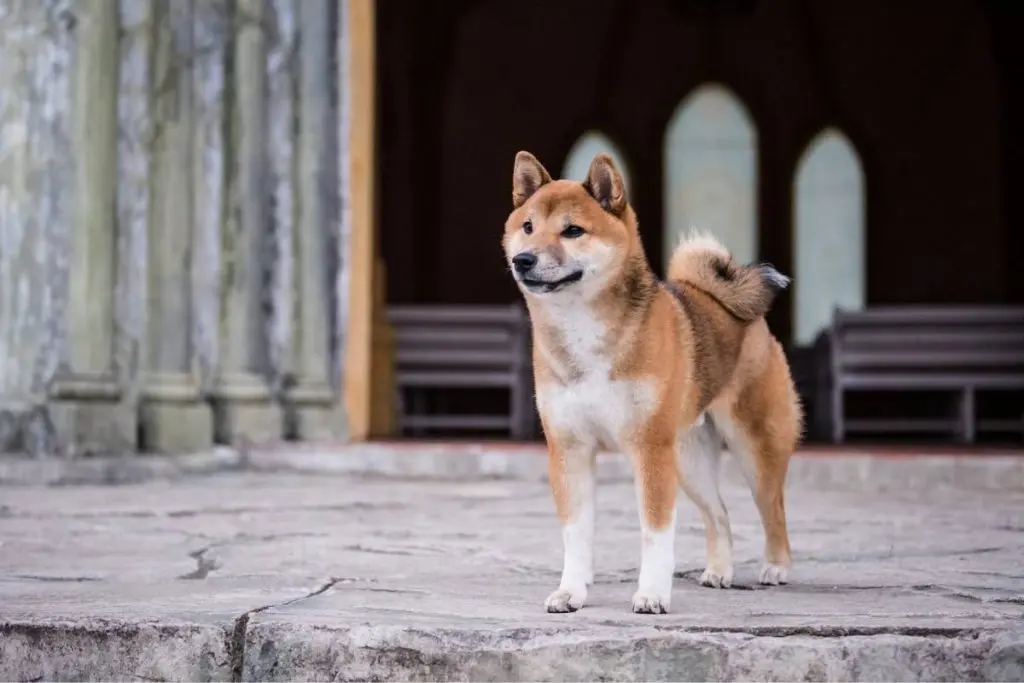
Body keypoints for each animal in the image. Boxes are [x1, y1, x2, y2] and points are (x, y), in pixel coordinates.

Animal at [501, 152, 798, 618]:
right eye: (527, 227)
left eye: (572, 230)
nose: (524, 260)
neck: (582, 331)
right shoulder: (569, 449)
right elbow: (576, 533)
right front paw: (571, 591)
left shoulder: (649, 449)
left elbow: (655, 533)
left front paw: (653, 595)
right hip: (689, 460)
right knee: (720, 515)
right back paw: (720, 571)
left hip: (755, 448)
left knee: (774, 510)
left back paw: (776, 567)